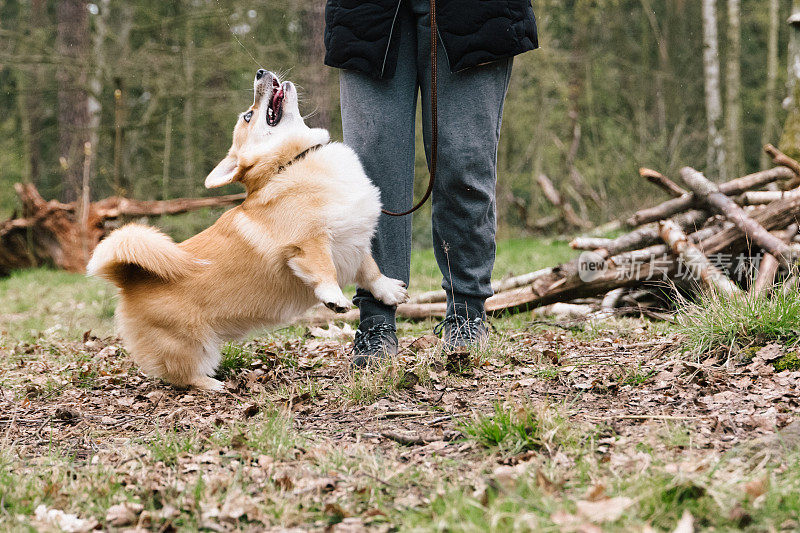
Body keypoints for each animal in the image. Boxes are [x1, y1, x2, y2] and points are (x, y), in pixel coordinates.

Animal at [89, 68, 406, 388]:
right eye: (247, 116)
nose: (260, 72)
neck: (289, 164)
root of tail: (127, 278)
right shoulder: (308, 243)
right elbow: (324, 269)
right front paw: (334, 298)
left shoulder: (354, 242)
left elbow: (370, 270)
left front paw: (390, 291)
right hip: (190, 343)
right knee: (182, 375)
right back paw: (213, 385)